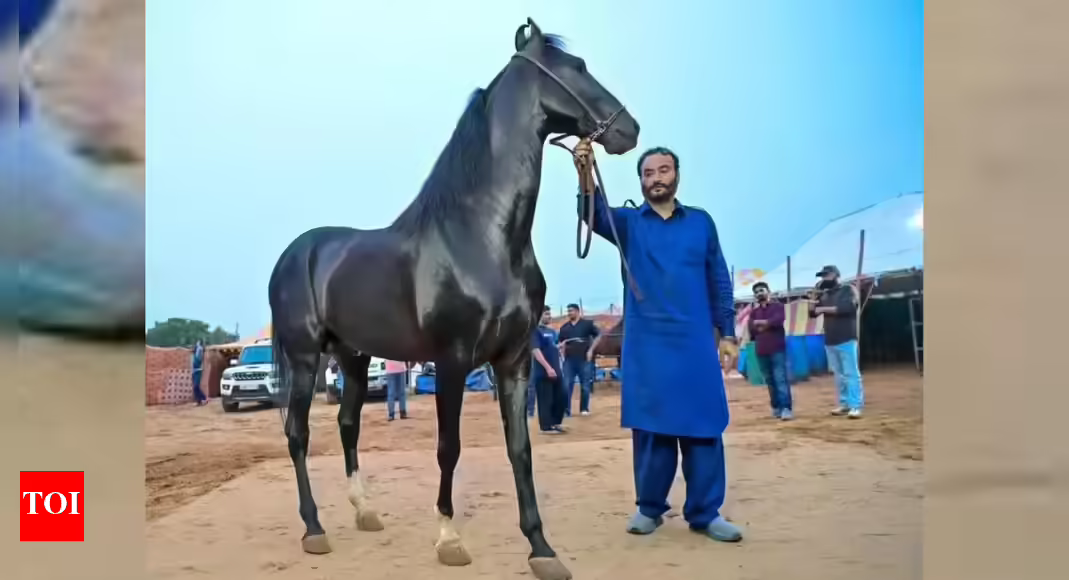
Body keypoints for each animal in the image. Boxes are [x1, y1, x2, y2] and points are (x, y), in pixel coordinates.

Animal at [267, 18, 639, 580]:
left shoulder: (514, 360)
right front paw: (448, 538)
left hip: (352, 358)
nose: (628, 130)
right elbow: (449, 447)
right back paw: (314, 528)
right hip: (307, 358)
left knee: (348, 424)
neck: (482, 237)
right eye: (576, 68)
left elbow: (520, 448)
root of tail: (293, 254)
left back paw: (365, 511)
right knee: (298, 434)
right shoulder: (452, 359)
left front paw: (541, 548)